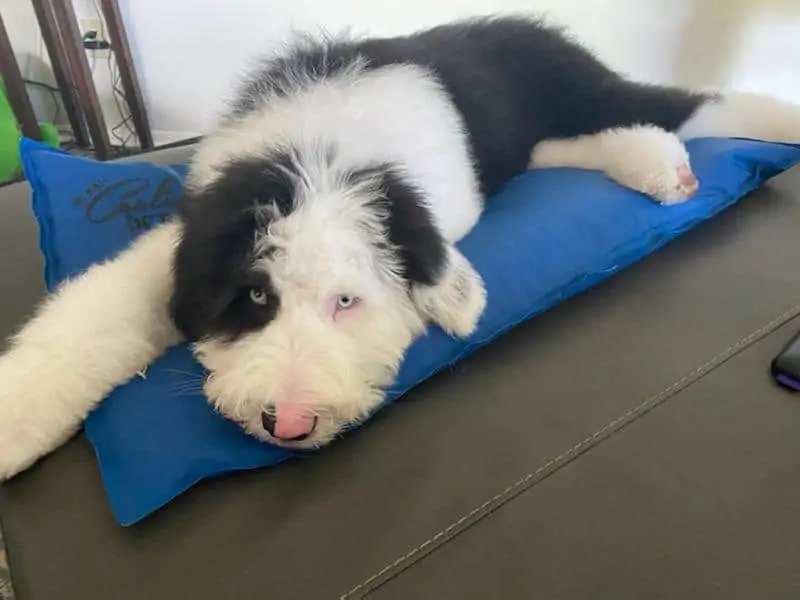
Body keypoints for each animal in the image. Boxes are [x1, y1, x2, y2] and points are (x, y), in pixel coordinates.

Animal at [1, 16, 800, 480]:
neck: (319, 158)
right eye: (255, 296)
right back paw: (650, 162)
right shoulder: (195, 230)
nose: (288, 424)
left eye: (346, 301)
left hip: (576, 89)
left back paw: (694, 152)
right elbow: (98, 311)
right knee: (575, 141)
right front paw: (16, 419)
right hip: (525, 135)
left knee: (681, 107)